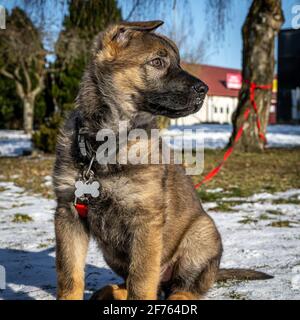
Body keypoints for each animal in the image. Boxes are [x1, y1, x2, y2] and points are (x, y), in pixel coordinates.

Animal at [54, 20, 272, 300]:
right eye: (157, 62)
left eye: (177, 62)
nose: (204, 89)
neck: (104, 145)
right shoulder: (68, 214)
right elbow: (70, 276)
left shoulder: (146, 221)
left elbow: (141, 281)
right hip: (112, 253)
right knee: (148, 284)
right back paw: (111, 291)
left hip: (201, 235)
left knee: (183, 287)